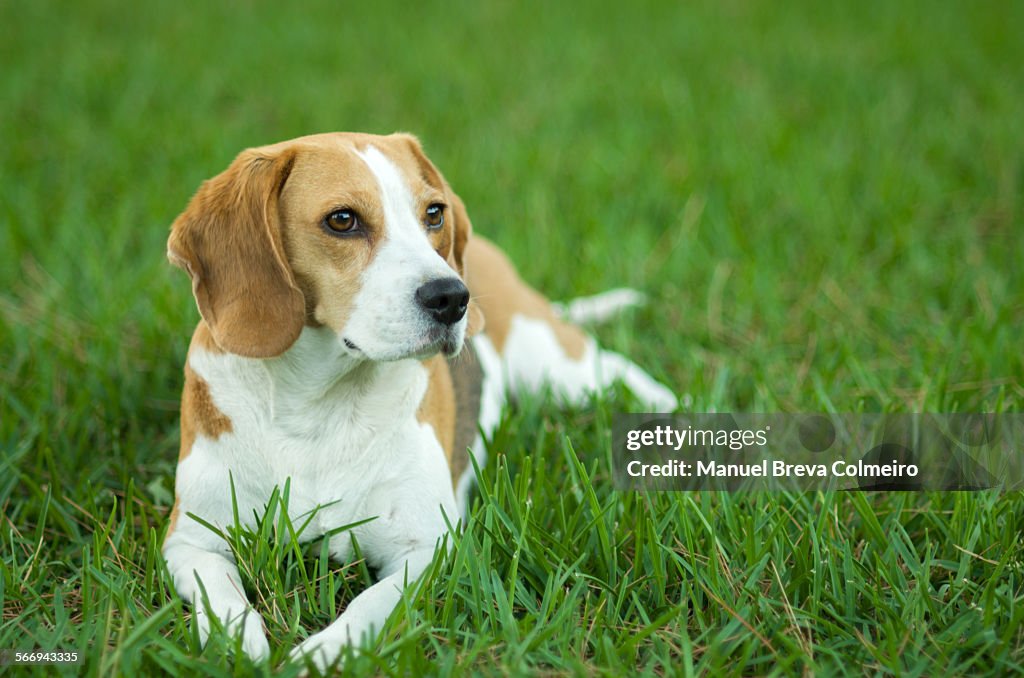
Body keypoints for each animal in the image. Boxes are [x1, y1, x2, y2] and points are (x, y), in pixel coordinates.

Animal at [161, 131, 679, 667]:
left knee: (617, 372)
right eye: (342, 220)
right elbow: (220, 598)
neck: (317, 407)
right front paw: (239, 647)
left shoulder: (427, 547)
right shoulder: (191, 541)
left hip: (556, 367)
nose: (453, 297)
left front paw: (322, 654)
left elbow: (368, 605)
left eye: (434, 213)